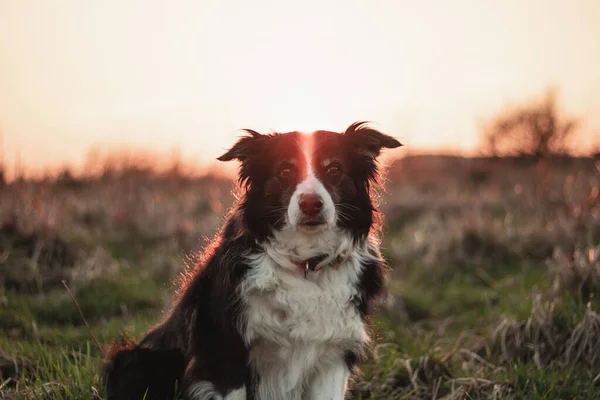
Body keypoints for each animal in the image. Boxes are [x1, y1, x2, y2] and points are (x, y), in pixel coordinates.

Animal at [105, 122, 400, 400]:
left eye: (335, 169)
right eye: (285, 171)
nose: (310, 204)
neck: (305, 263)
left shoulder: (334, 354)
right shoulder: (225, 352)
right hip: (137, 360)